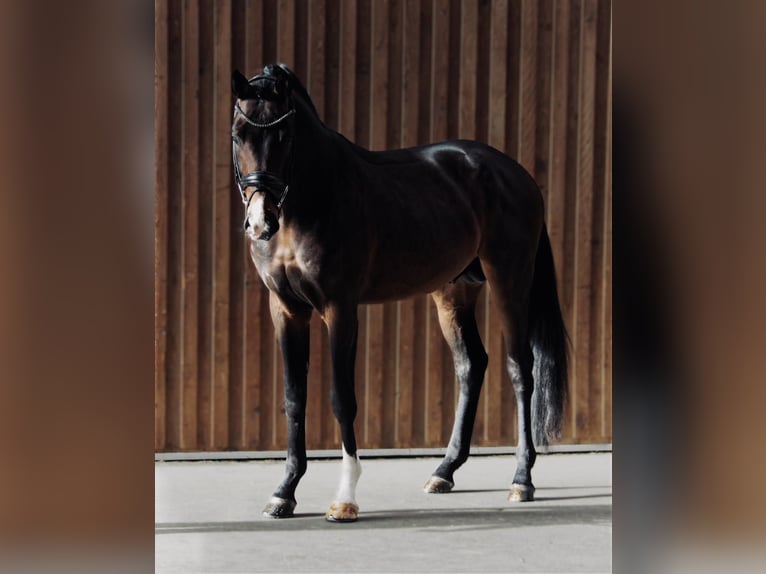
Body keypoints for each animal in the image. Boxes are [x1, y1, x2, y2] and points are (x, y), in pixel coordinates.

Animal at [231, 64, 568, 522]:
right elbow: (293, 398)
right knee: (471, 365)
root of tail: (519, 175)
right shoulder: (285, 309)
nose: (261, 221)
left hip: (510, 281)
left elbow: (341, 399)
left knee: (521, 370)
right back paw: (444, 472)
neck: (317, 197)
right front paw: (284, 493)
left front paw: (345, 499)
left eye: (283, 135)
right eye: (238, 135)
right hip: (453, 292)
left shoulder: (340, 307)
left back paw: (521, 480)